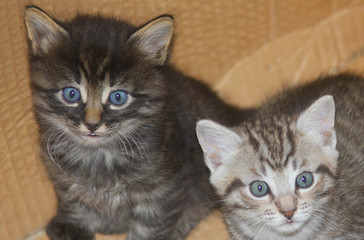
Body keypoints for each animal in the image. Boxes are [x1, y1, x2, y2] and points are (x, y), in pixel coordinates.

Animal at [24, 5, 253, 240]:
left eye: (118, 97)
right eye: (71, 94)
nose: (92, 124)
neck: (99, 157)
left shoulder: (163, 192)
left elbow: (150, 227)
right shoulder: (63, 180)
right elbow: (73, 201)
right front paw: (73, 226)